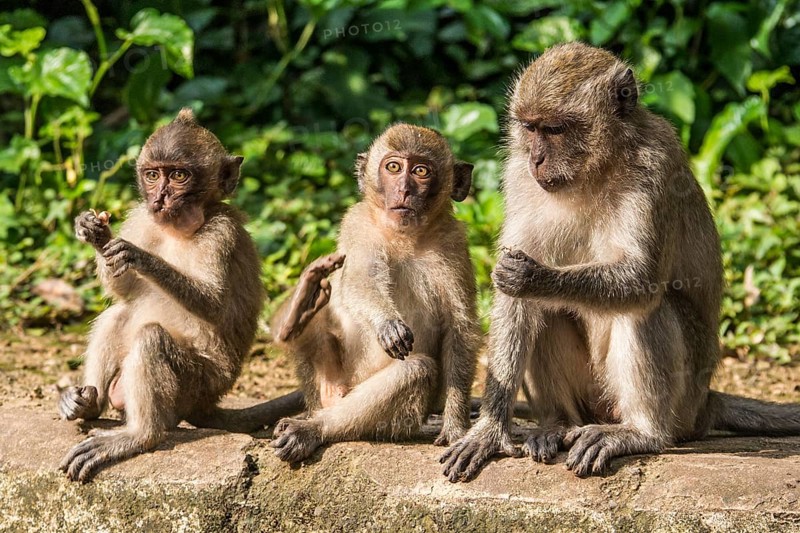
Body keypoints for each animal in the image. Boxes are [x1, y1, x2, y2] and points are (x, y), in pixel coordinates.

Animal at [57, 108, 301, 482]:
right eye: (153, 175)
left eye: (179, 175)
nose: (160, 199)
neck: (181, 228)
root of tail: (207, 402)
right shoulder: (141, 217)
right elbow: (124, 290)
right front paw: (94, 231)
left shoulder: (221, 234)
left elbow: (214, 306)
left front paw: (136, 255)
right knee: (120, 314)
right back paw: (88, 404)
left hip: (197, 384)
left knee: (152, 338)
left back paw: (139, 436)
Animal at [268, 123, 480, 463]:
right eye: (393, 167)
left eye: (421, 171)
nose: (404, 190)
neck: (407, 236)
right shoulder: (358, 222)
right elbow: (359, 279)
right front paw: (387, 324)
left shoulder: (455, 242)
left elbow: (460, 328)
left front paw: (456, 426)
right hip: (331, 380)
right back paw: (298, 315)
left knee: (415, 371)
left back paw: (314, 428)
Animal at [441, 42, 800, 481]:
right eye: (530, 128)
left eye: (555, 130)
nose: (536, 159)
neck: (595, 169)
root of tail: (706, 403)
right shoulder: (518, 177)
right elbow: (516, 305)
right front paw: (490, 429)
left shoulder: (656, 167)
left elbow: (640, 280)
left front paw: (532, 277)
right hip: (592, 398)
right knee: (550, 314)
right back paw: (556, 425)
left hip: (684, 400)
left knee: (649, 306)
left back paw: (641, 432)